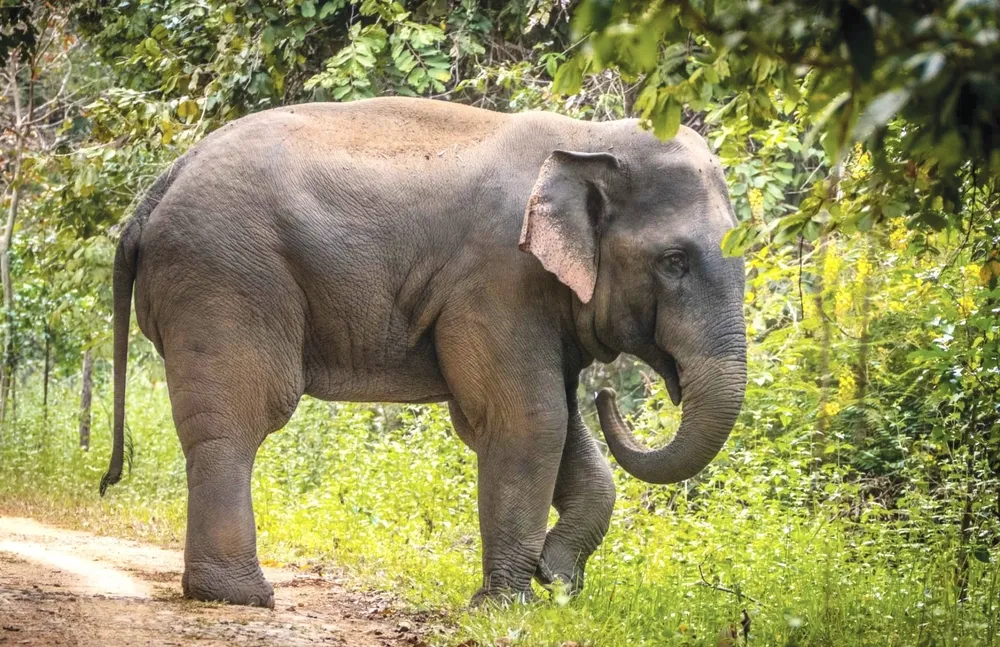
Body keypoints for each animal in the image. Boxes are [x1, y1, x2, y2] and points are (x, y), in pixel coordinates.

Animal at [101, 96, 748, 608]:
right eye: (674, 261)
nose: (611, 394)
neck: (589, 139)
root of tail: (153, 193)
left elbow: (559, 423)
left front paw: (559, 579)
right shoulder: (498, 279)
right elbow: (526, 420)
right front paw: (506, 607)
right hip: (224, 277)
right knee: (239, 421)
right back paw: (241, 597)